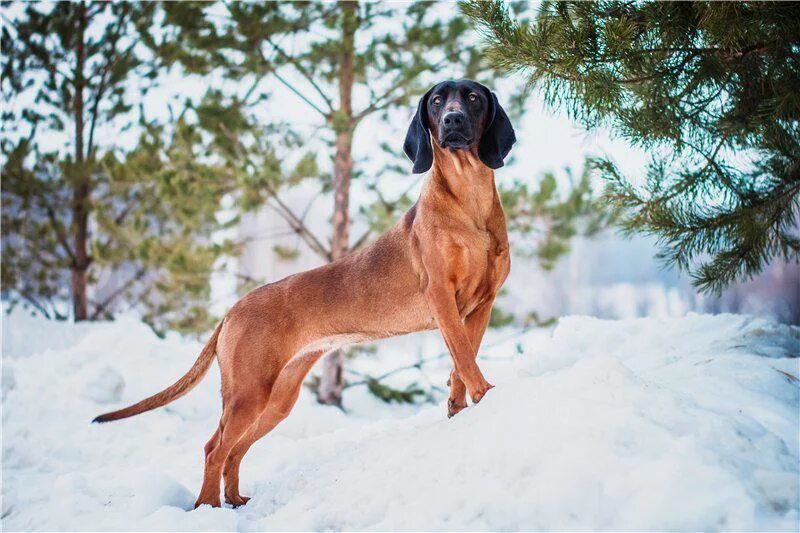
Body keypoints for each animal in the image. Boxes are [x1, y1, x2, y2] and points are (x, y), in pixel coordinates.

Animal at [95, 79, 520, 508]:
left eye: (472, 98)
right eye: (436, 101)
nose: (452, 120)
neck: (468, 202)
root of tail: (231, 310)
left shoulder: (480, 305)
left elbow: (462, 359)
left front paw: (460, 408)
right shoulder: (442, 297)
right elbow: (464, 357)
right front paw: (485, 394)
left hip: (277, 398)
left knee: (235, 449)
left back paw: (235, 500)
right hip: (249, 392)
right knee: (214, 448)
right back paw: (208, 507)